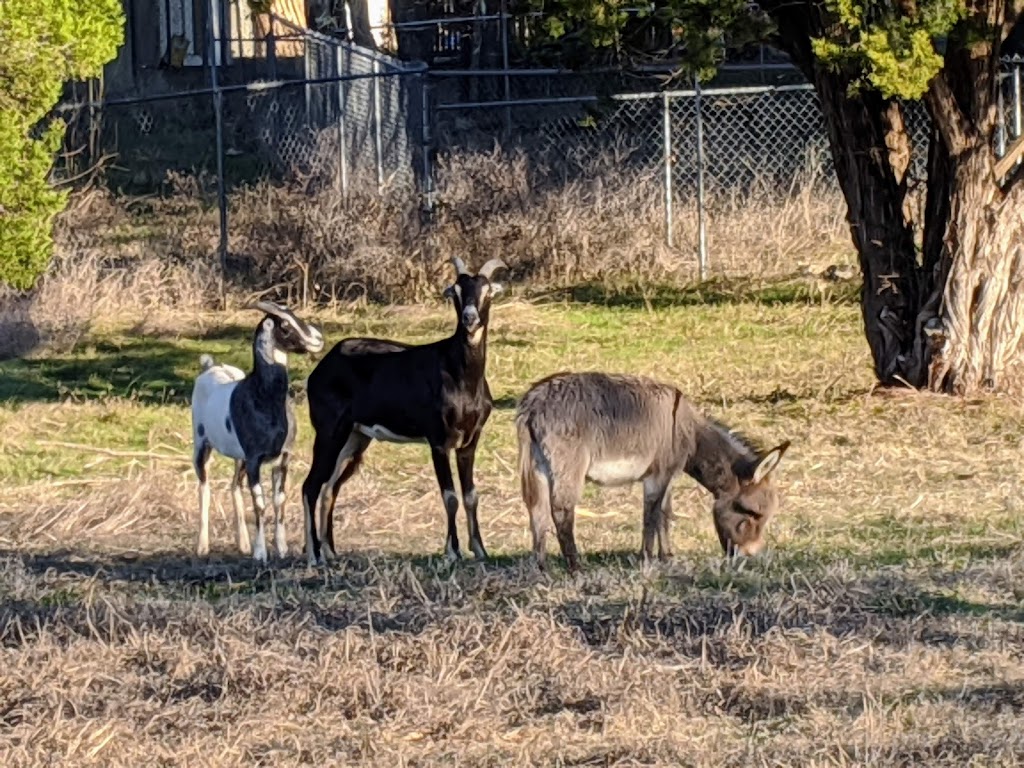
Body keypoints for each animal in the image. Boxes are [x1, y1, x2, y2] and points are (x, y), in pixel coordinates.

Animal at [190, 303, 321, 565]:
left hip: (239, 458)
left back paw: (243, 544)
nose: (318, 339)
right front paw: (261, 553)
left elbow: (279, 499)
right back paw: (202, 546)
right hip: (201, 445)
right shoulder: (254, 459)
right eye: (285, 324)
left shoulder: (283, 458)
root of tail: (211, 366)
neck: (263, 397)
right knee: (204, 487)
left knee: (234, 486)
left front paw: (281, 548)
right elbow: (259, 502)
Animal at [299, 259, 507, 565]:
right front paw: (452, 551)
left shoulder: (470, 440)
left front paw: (480, 549)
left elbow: (470, 495)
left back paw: (331, 551)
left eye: (487, 291)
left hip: (355, 438)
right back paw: (314, 556)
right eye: (456, 292)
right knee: (311, 486)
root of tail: (323, 366)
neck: (460, 376)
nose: (470, 318)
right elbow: (450, 496)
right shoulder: (439, 440)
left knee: (329, 488)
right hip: (329, 432)